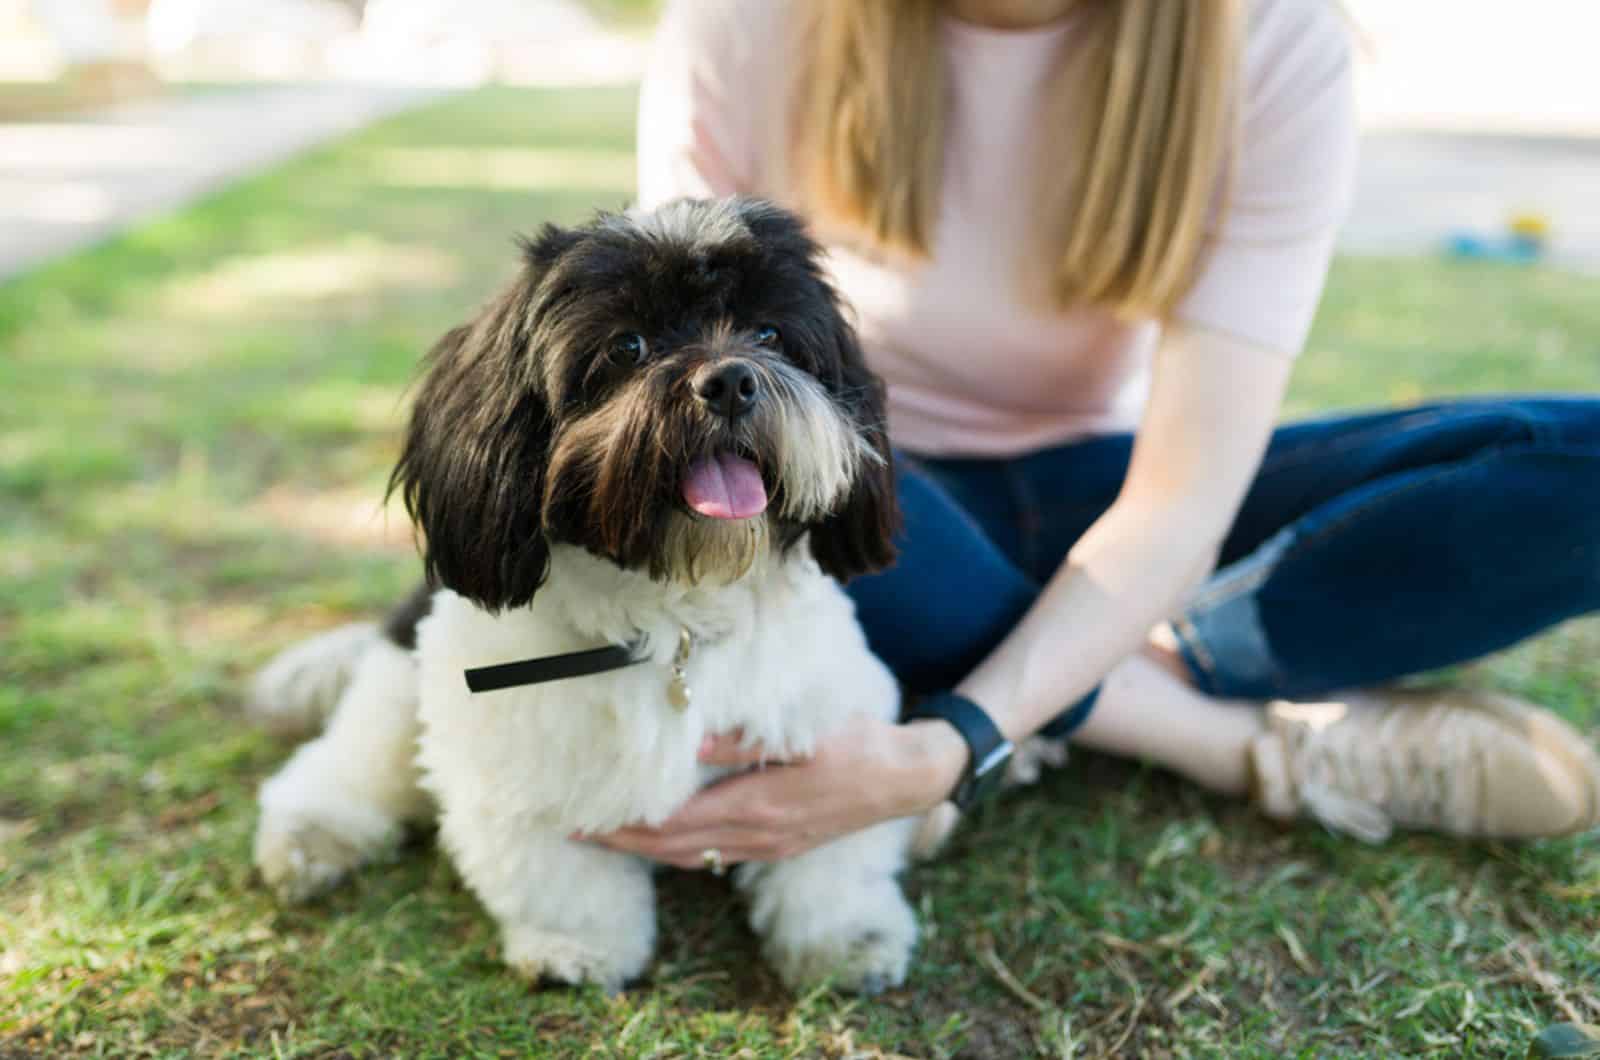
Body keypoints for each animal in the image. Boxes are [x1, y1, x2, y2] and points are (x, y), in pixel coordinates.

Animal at [251, 196, 928, 999]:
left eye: (769, 334)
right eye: (628, 347)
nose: (730, 379)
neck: (675, 613)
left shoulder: (825, 731)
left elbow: (831, 854)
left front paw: (846, 939)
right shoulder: (508, 763)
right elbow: (556, 874)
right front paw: (575, 948)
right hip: (397, 688)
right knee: (351, 762)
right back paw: (313, 831)